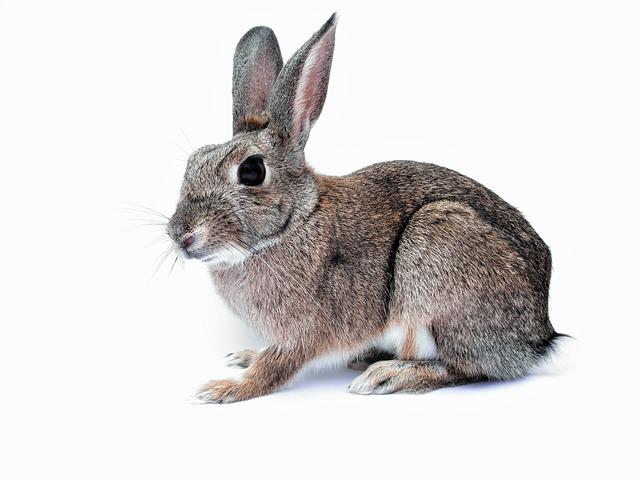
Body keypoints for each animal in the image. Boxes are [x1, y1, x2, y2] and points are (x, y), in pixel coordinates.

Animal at [166, 13, 565, 403]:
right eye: (194, 161)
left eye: (251, 171)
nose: (180, 235)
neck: (295, 222)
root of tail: (538, 339)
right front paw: (245, 357)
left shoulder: (303, 332)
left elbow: (276, 368)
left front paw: (225, 388)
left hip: (438, 253)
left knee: (464, 368)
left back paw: (389, 375)